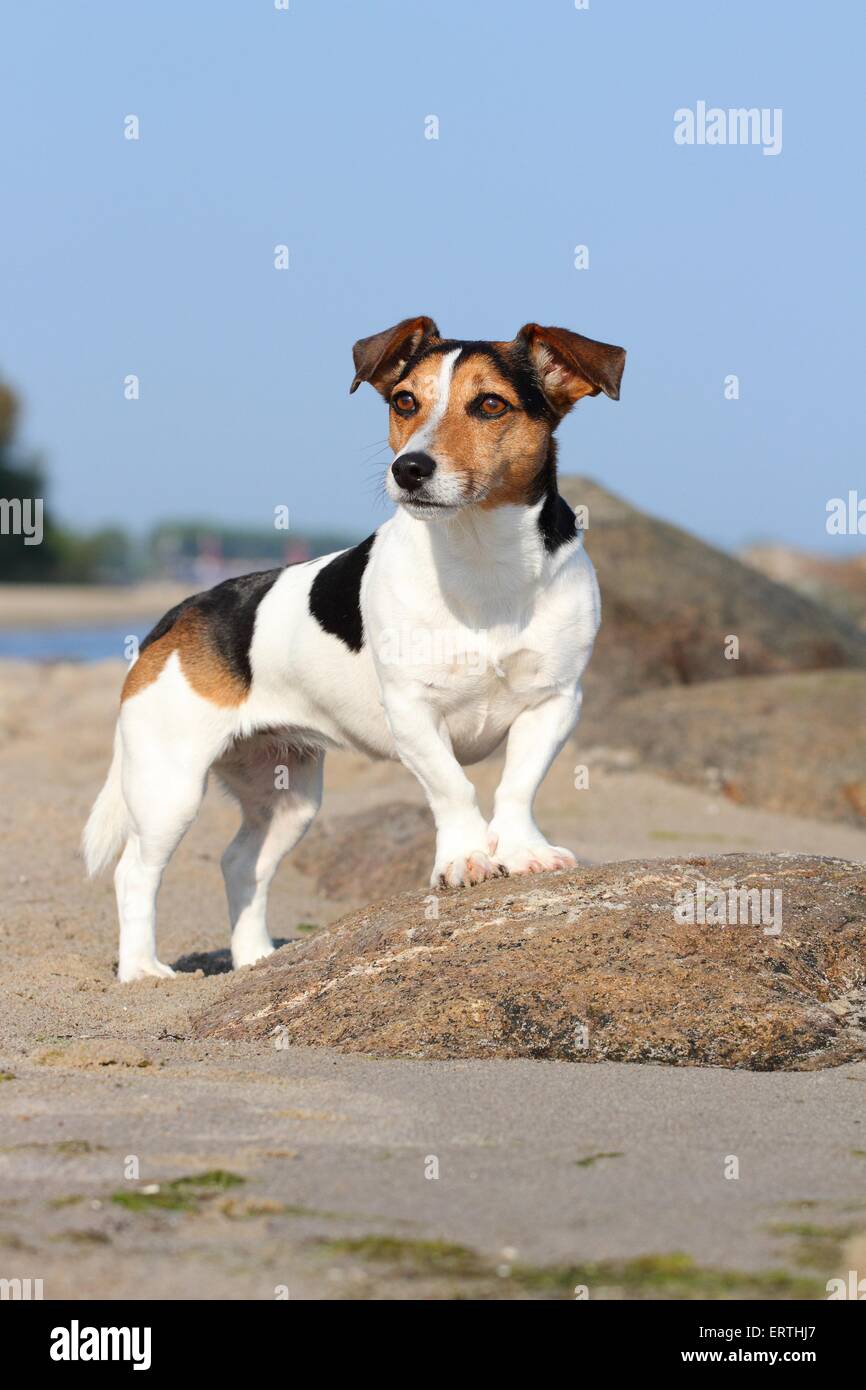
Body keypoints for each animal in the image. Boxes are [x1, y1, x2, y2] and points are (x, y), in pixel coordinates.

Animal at [84, 319, 625, 984]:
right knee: (135, 871)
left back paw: (255, 960)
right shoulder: (413, 713)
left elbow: (517, 787)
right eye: (405, 401)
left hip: (286, 798)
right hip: (169, 786)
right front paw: (467, 858)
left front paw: (522, 851)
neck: (480, 560)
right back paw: (142, 970)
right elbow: (454, 789)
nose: (409, 467)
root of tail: (178, 612)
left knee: (241, 863)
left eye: (491, 405)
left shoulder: (553, 703)